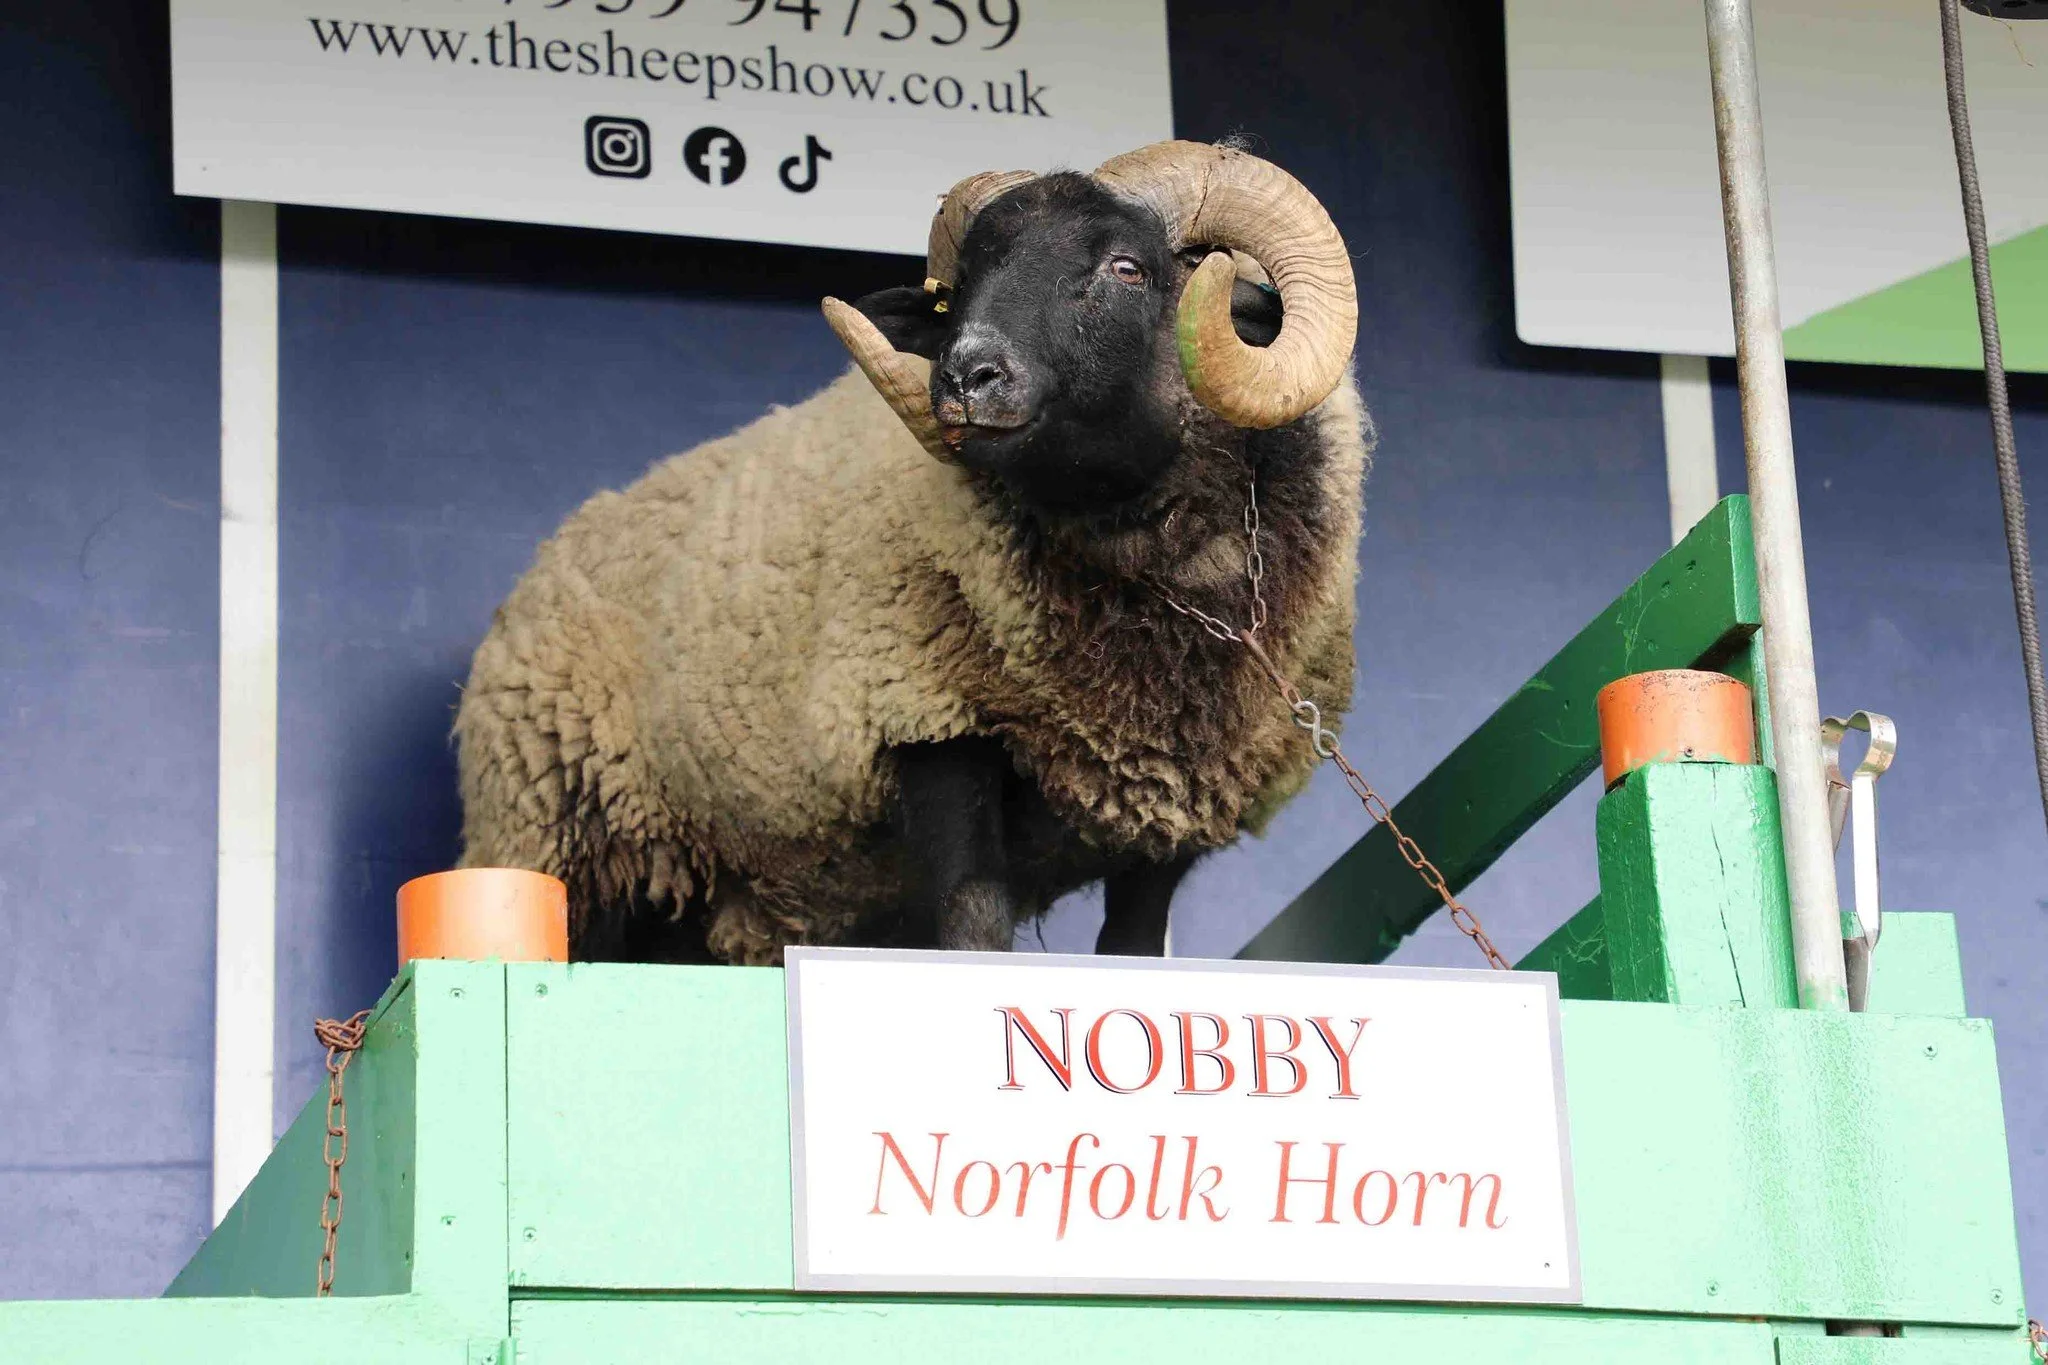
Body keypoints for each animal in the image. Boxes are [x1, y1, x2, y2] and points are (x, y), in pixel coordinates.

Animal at [453, 139, 1370, 964]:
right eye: (955, 293)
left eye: (1127, 269)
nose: (963, 377)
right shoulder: (927, 721)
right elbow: (972, 928)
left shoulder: (1175, 815)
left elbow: (1137, 948)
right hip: (553, 845)